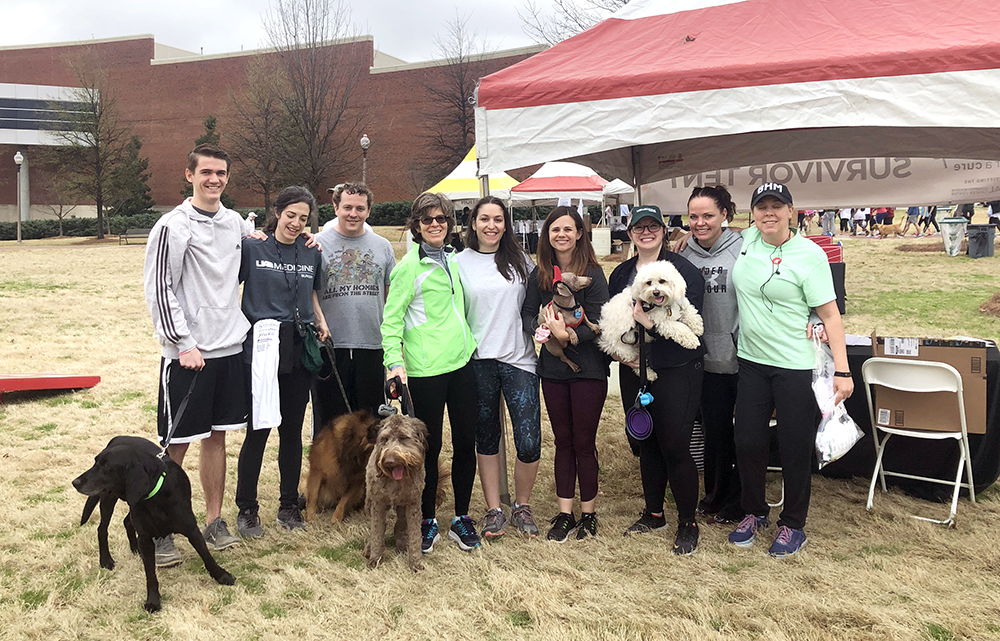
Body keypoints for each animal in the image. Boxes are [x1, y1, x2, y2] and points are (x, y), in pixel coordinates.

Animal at [73, 436, 233, 608]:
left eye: (106, 466)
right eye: (95, 462)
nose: (75, 482)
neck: (156, 495)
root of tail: (118, 437)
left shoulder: (191, 529)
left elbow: (206, 555)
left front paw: (221, 575)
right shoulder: (146, 538)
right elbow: (150, 574)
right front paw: (153, 600)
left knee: (126, 522)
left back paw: (134, 548)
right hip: (108, 498)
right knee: (102, 529)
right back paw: (106, 560)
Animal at [366, 412, 432, 572]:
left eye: (403, 438)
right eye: (384, 439)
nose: (389, 461)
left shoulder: (413, 503)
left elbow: (415, 535)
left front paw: (415, 562)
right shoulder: (378, 503)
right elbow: (376, 531)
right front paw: (375, 558)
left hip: (402, 506)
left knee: (400, 524)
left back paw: (402, 542)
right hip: (370, 501)